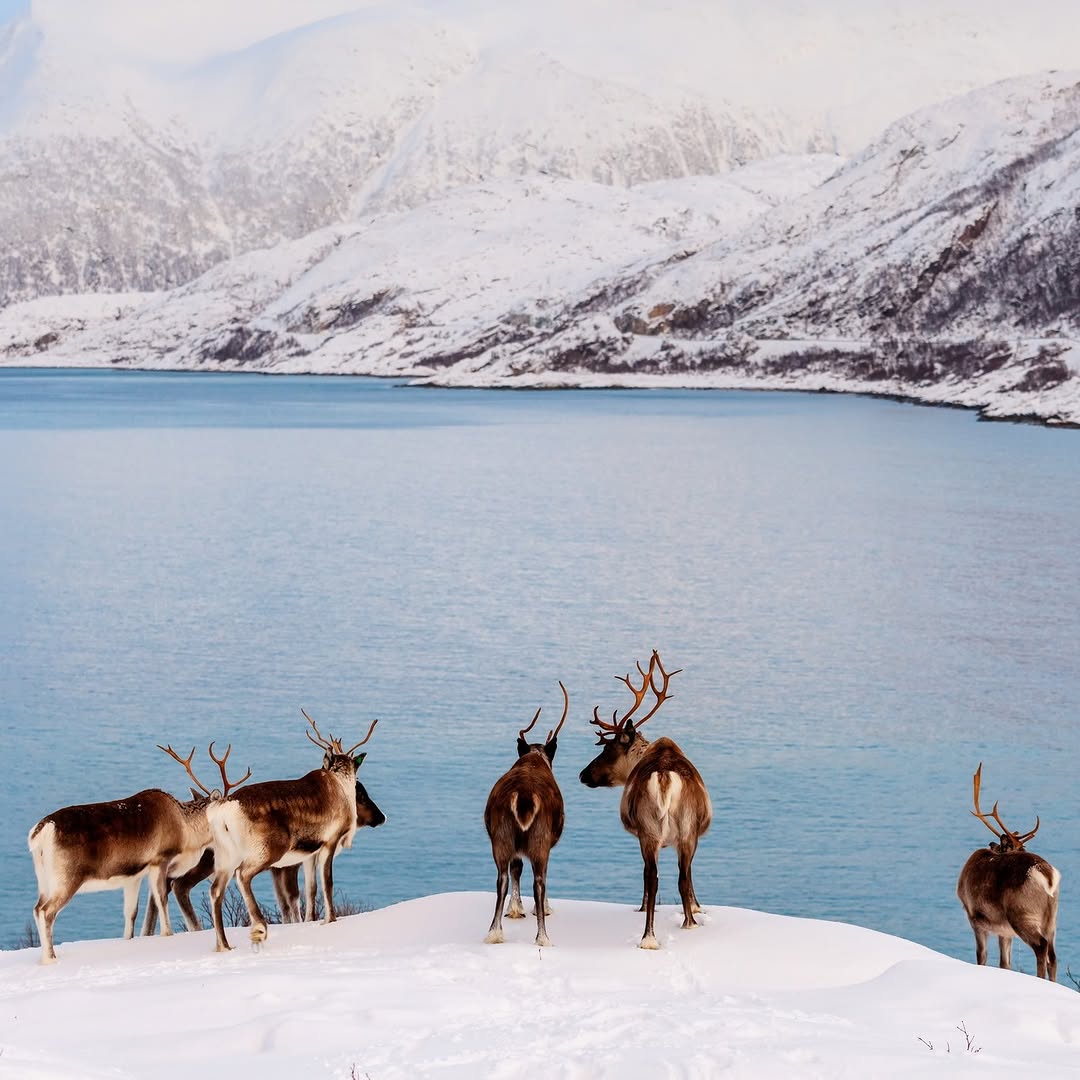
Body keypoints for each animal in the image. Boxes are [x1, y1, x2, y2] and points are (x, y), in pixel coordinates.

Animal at [27, 742, 250, 964]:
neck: (186, 833)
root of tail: (40, 833)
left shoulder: (132, 875)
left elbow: (130, 913)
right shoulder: (160, 859)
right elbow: (161, 900)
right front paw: (167, 934)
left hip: (43, 879)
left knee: (37, 908)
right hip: (66, 877)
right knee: (46, 911)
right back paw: (50, 958)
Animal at [207, 709, 377, 951]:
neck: (342, 786)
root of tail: (223, 810)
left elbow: (311, 888)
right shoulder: (330, 840)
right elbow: (327, 882)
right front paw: (331, 920)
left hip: (224, 856)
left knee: (215, 891)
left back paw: (224, 945)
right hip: (266, 850)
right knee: (243, 875)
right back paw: (259, 929)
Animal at [484, 681, 568, 947]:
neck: (535, 756)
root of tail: (523, 797)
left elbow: (516, 867)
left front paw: (515, 909)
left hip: (500, 837)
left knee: (501, 878)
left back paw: (494, 933)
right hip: (540, 840)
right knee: (539, 881)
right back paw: (543, 937)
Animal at [579, 650, 711, 950]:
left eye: (607, 749)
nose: (583, 774)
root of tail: (663, 777)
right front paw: (696, 908)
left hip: (654, 832)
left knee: (656, 876)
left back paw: (652, 935)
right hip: (673, 832)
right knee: (668, 876)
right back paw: (673, 928)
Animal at [956, 763, 1059, 981]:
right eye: (1019, 847)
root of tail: (1046, 875)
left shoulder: (974, 917)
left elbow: (982, 957)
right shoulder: (1005, 931)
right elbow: (1005, 964)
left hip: (1022, 913)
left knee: (1041, 947)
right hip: (1051, 918)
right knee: (1053, 956)